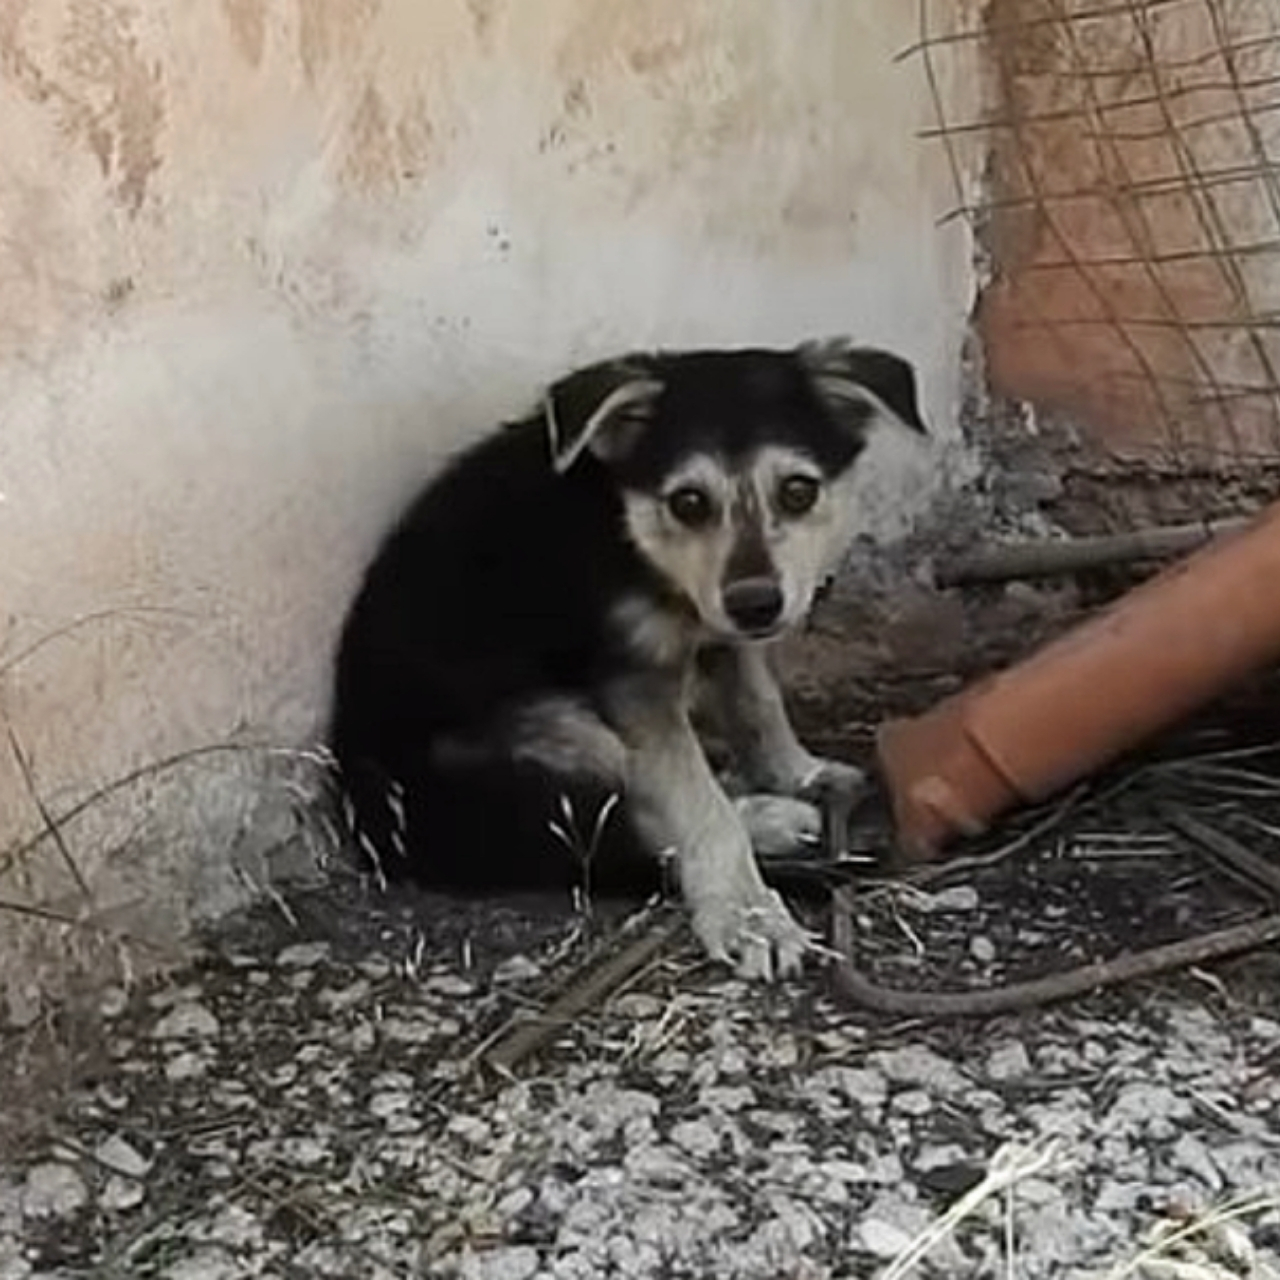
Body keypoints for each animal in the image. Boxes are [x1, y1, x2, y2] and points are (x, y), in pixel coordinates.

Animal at [328, 338, 926, 979]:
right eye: (687, 502)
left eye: (798, 490)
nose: (756, 605)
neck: (629, 532)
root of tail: (385, 820)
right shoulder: (636, 682)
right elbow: (694, 800)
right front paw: (747, 912)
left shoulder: (722, 626)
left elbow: (756, 698)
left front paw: (798, 771)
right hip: (563, 726)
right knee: (627, 821)